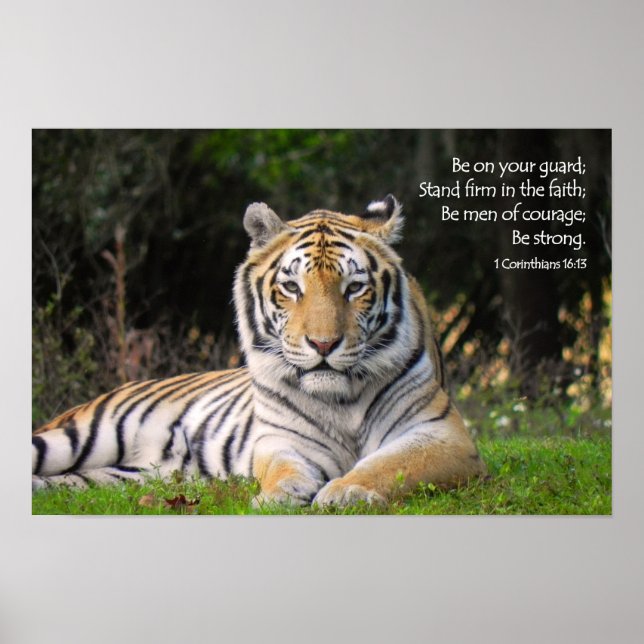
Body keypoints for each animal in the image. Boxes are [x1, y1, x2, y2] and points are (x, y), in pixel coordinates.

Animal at [32, 195, 486, 507]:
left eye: (355, 287)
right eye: (292, 287)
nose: (323, 344)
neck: (340, 399)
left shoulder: (442, 434)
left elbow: (389, 465)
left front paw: (345, 492)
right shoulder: (281, 439)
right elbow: (282, 467)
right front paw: (279, 496)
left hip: (119, 476)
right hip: (74, 437)